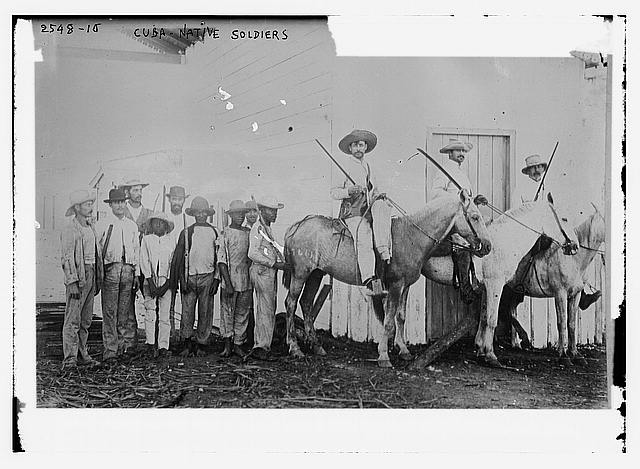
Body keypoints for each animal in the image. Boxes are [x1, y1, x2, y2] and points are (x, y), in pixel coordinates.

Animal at [282, 188, 492, 368]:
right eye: (475, 217)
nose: (488, 246)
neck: (411, 236)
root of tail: (296, 225)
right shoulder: (395, 286)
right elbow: (389, 321)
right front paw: (383, 355)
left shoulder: (405, 286)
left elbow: (400, 317)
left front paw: (404, 350)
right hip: (300, 274)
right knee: (291, 303)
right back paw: (294, 347)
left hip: (316, 274)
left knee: (306, 303)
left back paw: (316, 346)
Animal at [500, 203, 604, 364]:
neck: (574, 259)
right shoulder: (560, 294)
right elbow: (561, 322)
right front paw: (563, 355)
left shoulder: (575, 294)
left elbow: (571, 324)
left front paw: (576, 354)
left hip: (516, 292)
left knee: (511, 309)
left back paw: (517, 343)